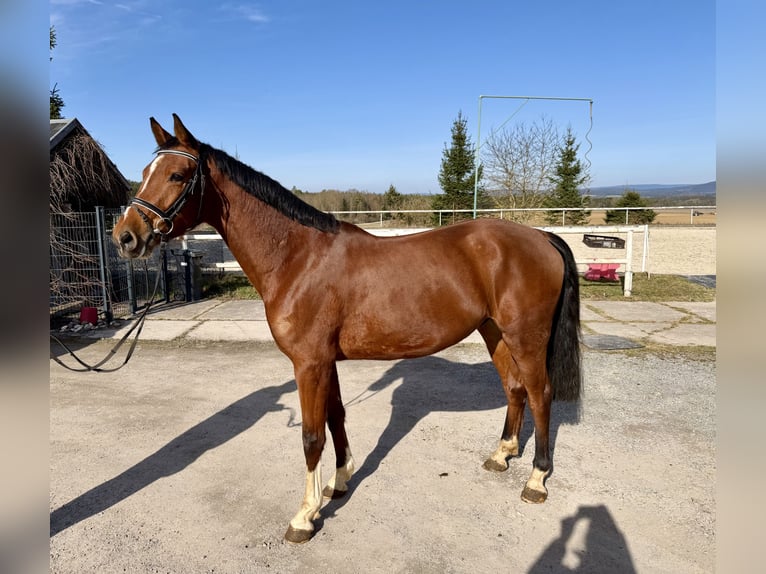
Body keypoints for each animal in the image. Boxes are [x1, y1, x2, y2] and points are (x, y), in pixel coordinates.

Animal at [113, 114, 582, 544]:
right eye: (145, 172)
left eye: (176, 175)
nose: (125, 237)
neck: (298, 258)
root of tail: (542, 236)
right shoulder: (326, 361)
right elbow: (336, 418)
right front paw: (339, 483)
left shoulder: (309, 364)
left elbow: (310, 436)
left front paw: (304, 517)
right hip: (494, 333)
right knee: (514, 389)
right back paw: (502, 455)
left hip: (526, 337)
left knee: (540, 394)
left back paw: (536, 480)